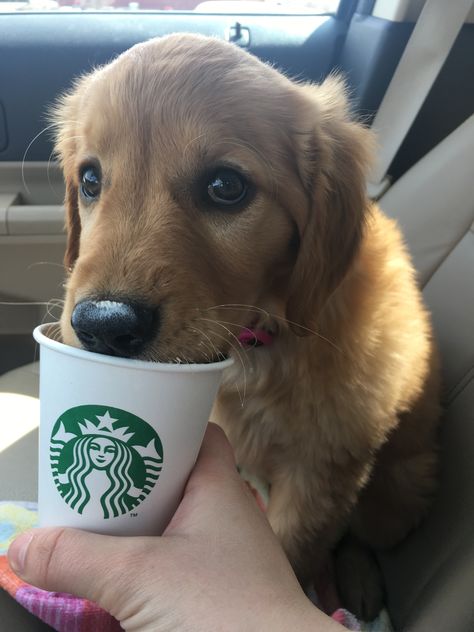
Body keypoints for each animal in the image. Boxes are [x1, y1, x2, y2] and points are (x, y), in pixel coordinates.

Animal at [53, 33, 442, 616]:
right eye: (91, 179)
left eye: (226, 185)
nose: (103, 326)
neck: (261, 335)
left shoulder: (321, 472)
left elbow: (292, 553)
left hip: (400, 490)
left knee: (362, 534)